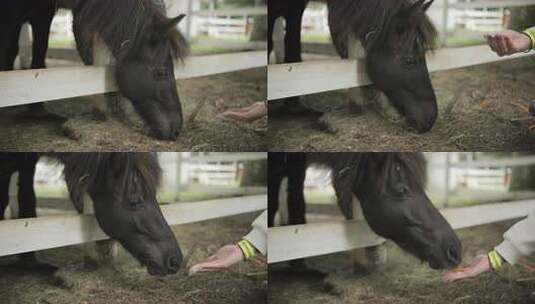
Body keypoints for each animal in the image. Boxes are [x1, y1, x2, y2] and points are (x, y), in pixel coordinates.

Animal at [1, 0, 189, 140]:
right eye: (162, 72)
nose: (177, 129)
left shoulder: (43, 15)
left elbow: (39, 53)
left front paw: (37, 109)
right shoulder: (12, 14)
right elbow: (9, 49)